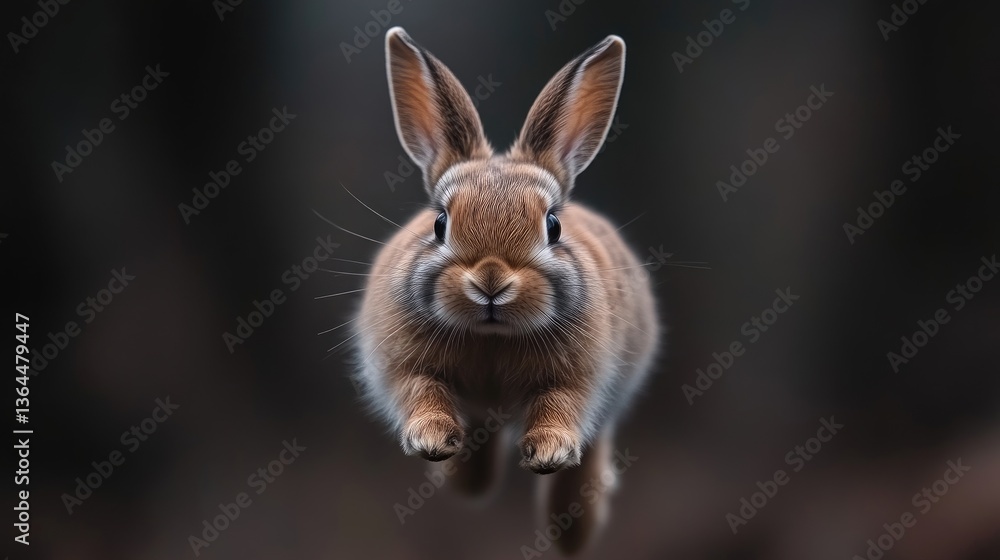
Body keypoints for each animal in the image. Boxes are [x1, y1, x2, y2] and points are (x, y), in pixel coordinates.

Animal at [352, 27, 659, 554]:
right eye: (440, 223)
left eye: (553, 226)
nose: (491, 281)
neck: (491, 337)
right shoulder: (401, 366)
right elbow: (420, 392)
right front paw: (433, 442)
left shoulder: (581, 377)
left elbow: (562, 405)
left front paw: (549, 453)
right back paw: (464, 479)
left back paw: (573, 533)